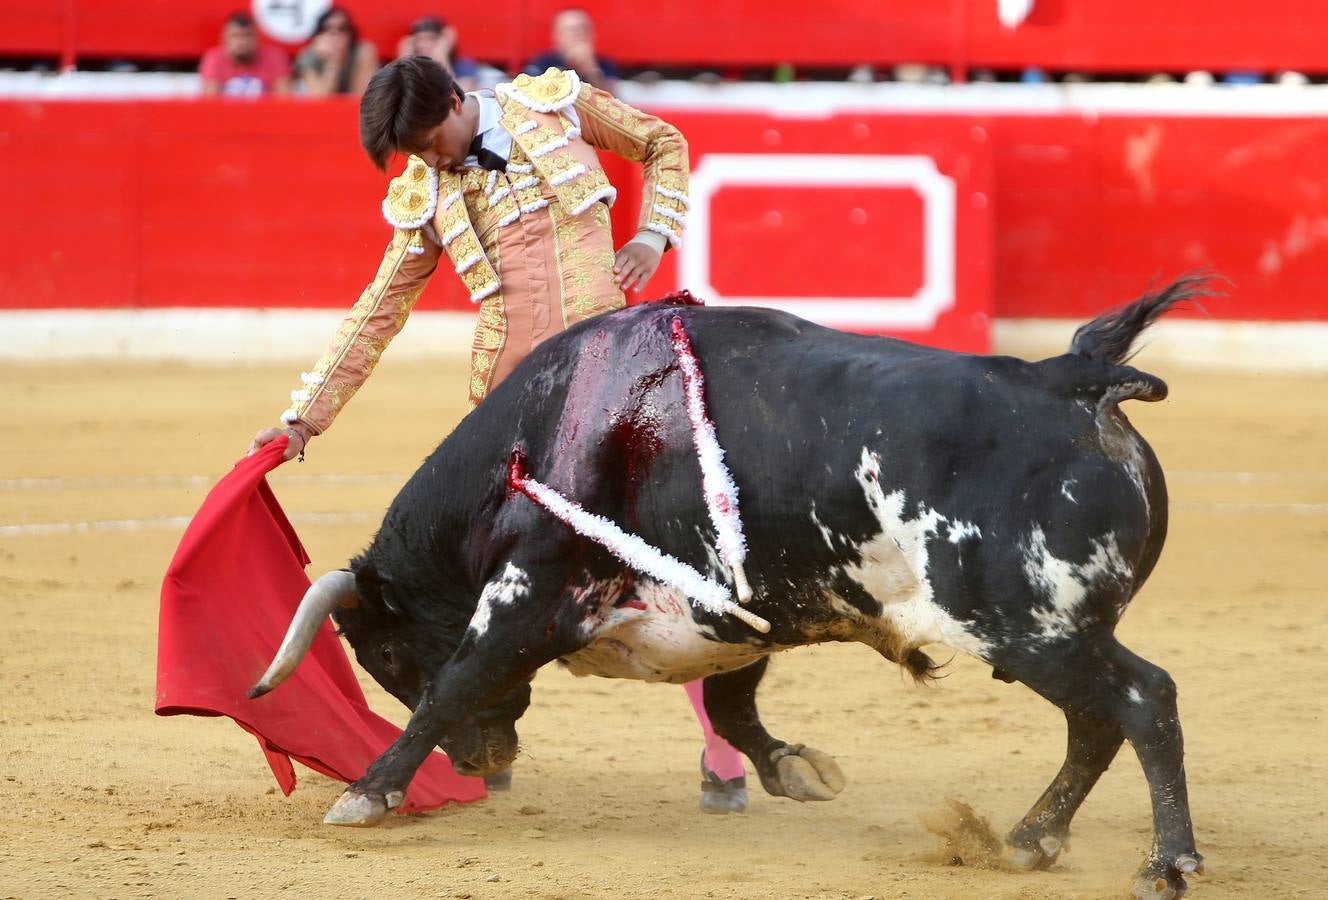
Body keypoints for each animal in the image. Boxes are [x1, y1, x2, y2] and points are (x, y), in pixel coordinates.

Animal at [250, 278, 1216, 897]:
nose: (481, 766)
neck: (551, 430)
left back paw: (1164, 865)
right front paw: (797, 768)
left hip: (1028, 625)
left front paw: (365, 794)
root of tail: (1071, 379)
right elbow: (733, 702)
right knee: (1098, 720)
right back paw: (1026, 842)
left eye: (382, 655)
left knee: (1142, 700)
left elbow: (455, 684)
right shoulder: (738, 610)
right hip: (1051, 632)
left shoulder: (529, 590)